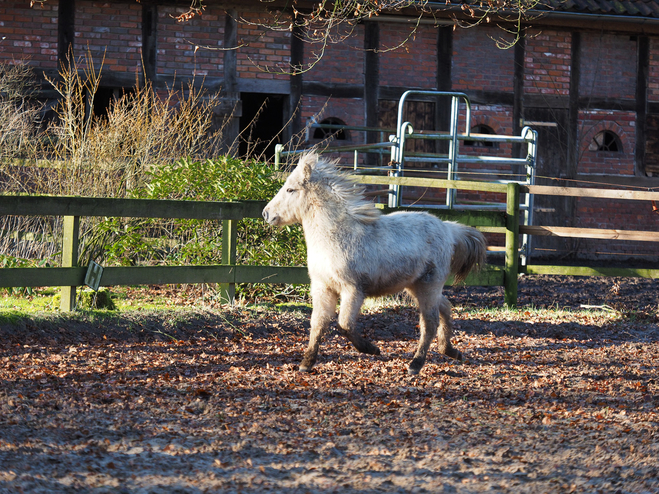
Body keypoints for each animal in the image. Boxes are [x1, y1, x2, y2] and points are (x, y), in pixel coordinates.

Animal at [260, 153, 488, 374]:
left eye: (290, 189)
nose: (266, 213)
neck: (336, 235)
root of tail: (448, 229)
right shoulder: (323, 287)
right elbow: (318, 324)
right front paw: (306, 363)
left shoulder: (353, 290)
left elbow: (344, 325)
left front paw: (372, 349)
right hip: (417, 287)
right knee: (446, 307)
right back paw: (450, 351)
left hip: (428, 287)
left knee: (429, 323)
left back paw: (416, 364)